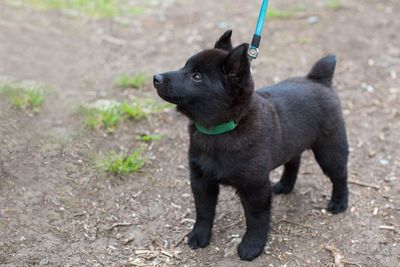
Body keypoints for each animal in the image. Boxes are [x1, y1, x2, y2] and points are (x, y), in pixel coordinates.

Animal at [152, 29, 346, 262]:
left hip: (329, 149)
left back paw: (339, 203)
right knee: (294, 160)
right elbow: (204, 211)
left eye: (196, 76)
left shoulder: (254, 187)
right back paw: (285, 185)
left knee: (339, 175)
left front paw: (252, 246)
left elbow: (256, 220)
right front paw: (199, 236)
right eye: (185, 66)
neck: (221, 130)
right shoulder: (201, 179)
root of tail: (319, 80)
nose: (155, 78)